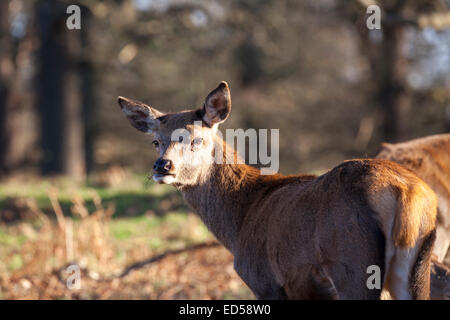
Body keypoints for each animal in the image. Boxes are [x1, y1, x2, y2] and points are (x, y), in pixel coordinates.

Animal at [118, 81, 438, 298]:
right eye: (155, 141)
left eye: (196, 138)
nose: (162, 166)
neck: (239, 223)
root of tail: (408, 192)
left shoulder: (265, 280)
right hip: (417, 266)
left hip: (354, 264)